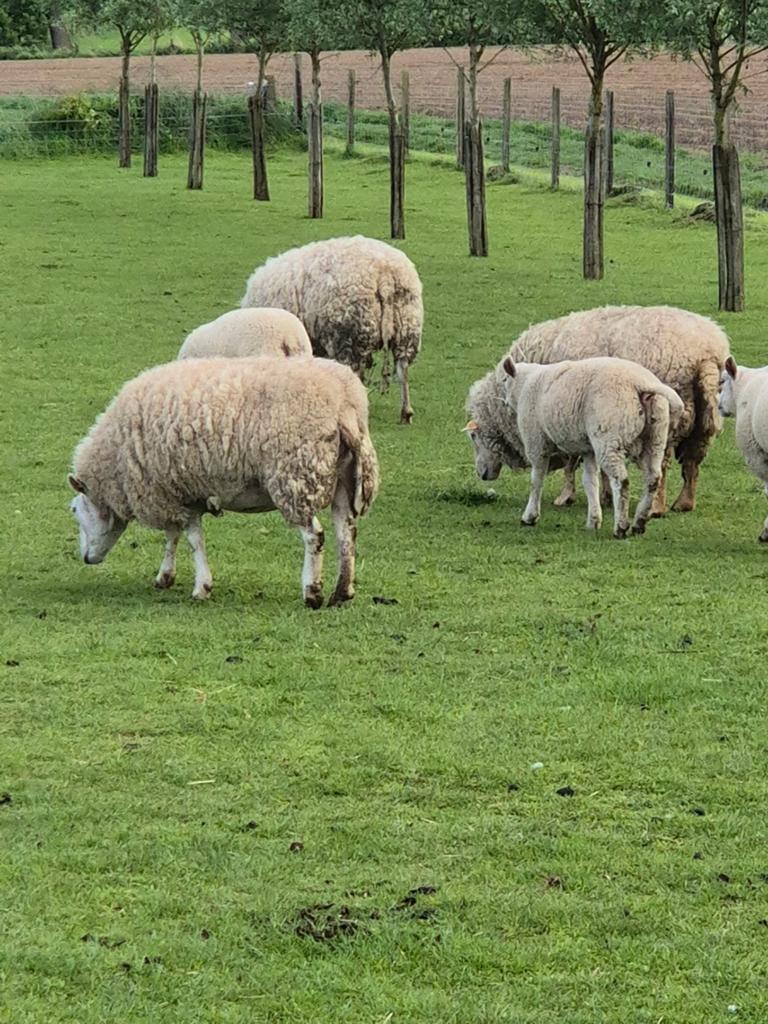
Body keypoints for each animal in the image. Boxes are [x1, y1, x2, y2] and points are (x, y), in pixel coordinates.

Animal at [68, 356, 379, 606]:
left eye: (74, 511)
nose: (85, 559)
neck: (116, 462)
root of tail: (345, 403)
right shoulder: (183, 493)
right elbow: (175, 536)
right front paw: (166, 577)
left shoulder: (171, 493)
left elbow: (192, 540)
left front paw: (200, 588)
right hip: (343, 479)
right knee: (346, 532)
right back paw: (342, 592)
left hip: (295, 476)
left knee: (315, 536)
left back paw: (312, 592)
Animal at [500, 355, 684, 538]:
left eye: (505, 380)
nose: (504, 402)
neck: (525, 383)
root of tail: (642, 384)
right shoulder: (587, 449)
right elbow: (590, 482)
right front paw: (593, 521)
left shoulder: (536, 440)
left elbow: (536, 479)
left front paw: (529, 516)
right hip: (655, 438)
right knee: (652, 479)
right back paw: (639, 523)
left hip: (609, 436)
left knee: (621, 481)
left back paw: (621, 527)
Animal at [506, 306, 729, 515]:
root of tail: (707, 353)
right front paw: (604, 496)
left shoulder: (566, 420)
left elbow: (571, 462)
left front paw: (565, 496)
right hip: (702, 418)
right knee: (693, 462)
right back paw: (684, 503)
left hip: (667, 418)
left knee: (661, 465)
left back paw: (656, 507)